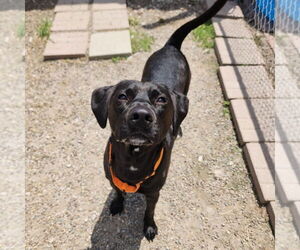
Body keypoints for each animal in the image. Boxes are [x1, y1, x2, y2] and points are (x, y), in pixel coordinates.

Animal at [91, 0, 227, 242]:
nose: (141, 116)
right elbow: (117, 190)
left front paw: (149, 227)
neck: (134, 158)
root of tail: (170, 47)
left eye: (161, 99)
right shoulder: (110, 177)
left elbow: (149, 210)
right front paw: (117, 203)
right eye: (122, 96)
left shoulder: (155, 192)